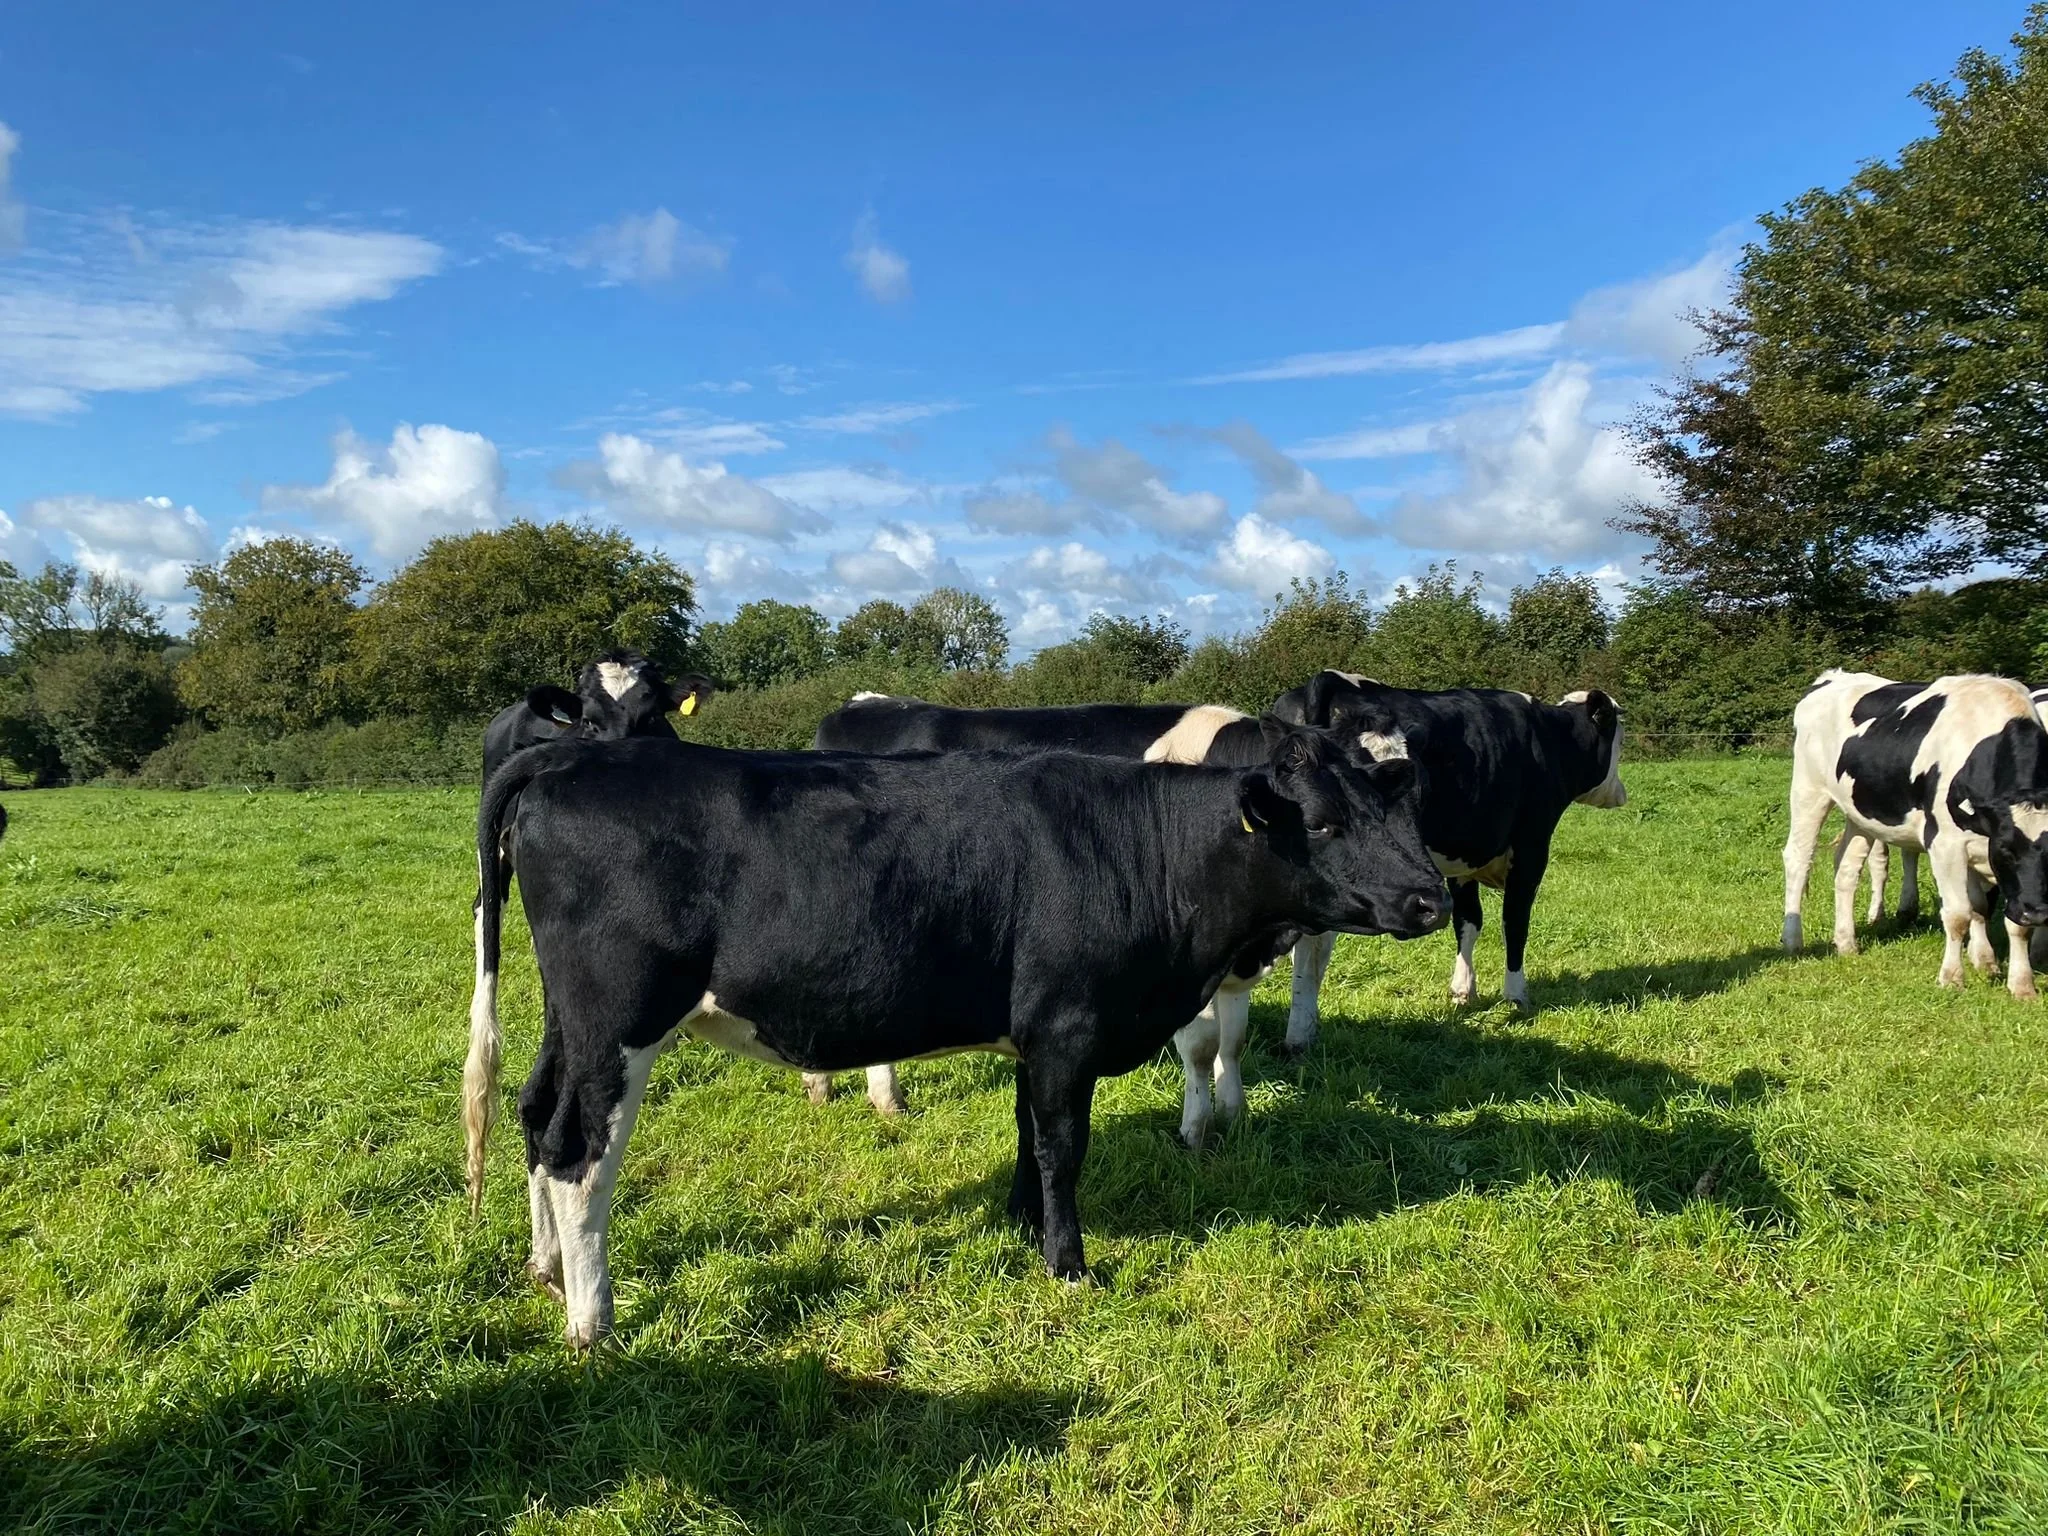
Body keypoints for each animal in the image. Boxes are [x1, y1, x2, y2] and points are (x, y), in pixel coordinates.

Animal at [808, 695, 1355, 1146]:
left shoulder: (1238, 959)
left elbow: (1233, 1041)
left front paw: (1232, 1115)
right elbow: (1201, 1045)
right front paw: (1195, 1132)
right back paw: (877, 1098)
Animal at [1272, 672, 1626, 1023]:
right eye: (1619, 738)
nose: (1621, 794)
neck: (1549, 740)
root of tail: (1328, 679)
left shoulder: (1463, 861)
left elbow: (1468, 921)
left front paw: (1462, 991)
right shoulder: (1531, 850)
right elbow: (1514, 922)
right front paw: (1515, 997)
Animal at [1782, 671, 2048, 996]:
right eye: (2006, 850)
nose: (2038, 913)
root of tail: (1834, 676)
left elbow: (1995, 915)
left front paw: (2016, 981)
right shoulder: (1945, 843)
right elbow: (1958, 914)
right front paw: (1951, 977)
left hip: (1862, 811)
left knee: (1846, 866)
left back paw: (1846, 943)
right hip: (1808, 791)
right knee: (1798, 859)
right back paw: (1793, 940)